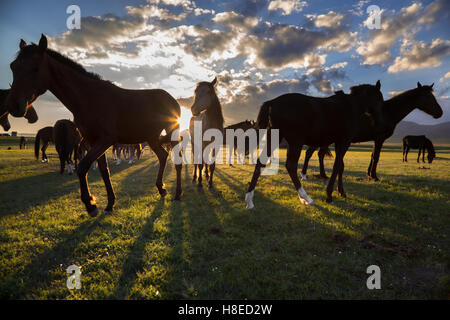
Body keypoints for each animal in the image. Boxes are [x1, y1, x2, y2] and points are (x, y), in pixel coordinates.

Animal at [6, 33, 182, 216]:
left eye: (35, 68)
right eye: (13, 67)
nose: (14, 106)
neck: (90, 98)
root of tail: (171, 98)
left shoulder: (105, 140)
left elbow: (83, 167)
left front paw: (90, 204)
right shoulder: (93, 140)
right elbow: (104, 171)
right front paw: (110, 203)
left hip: (172, 132)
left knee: (177, 162)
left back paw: (177, 194)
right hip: (152, 137)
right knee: (163, 156)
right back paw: (161, 189)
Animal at [244, 81, 384, 209]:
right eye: (379, 99)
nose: (379, 122)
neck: (351, 106)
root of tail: (272, 102)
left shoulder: (339, 143)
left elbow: (340, 166)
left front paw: (341, 192)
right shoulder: (344, 142)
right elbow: (337, 166)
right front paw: (329, 196)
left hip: (275, 138)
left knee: (261, 163)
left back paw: (250, 200)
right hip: (295, 142)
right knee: (291, 166)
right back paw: (306, 198)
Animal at [298, 84, 442, 180]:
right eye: (429, 96)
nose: (440, 113)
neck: (387, 112)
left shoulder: (375, 139)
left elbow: (372, 156)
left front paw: (369, 174)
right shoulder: (380, 139)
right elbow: (376, 157)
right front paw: (374, 176)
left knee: (319, 154)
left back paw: (322, 175)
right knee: (310, 153)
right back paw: (306, 174)